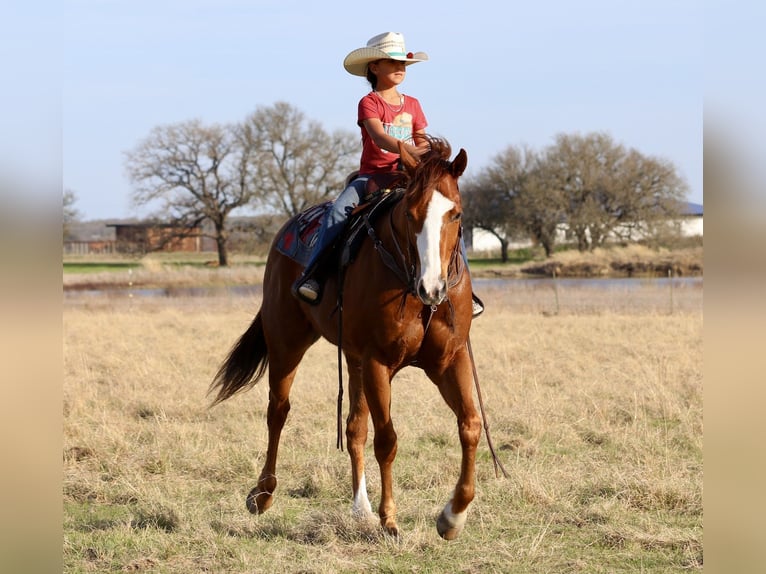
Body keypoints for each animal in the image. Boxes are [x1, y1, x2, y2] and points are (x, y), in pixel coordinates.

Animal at [209, 138, 482, 540]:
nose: (432, 287)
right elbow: (387, 439)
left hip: (353, 361)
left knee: (354, 427)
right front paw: (390, 519)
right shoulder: (378, 362)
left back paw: (360, 508)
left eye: (456, 215)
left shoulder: (449, 359)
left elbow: (470, 426)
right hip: (287, 342)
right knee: (278, 412)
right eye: (410, 214)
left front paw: (453, 516)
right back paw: (262, 494)